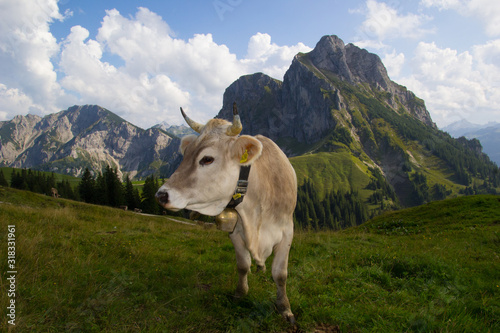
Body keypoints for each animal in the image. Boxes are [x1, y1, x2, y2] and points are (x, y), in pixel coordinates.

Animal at [156, 104, 296, 322]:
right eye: (185, 154)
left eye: (207, 159)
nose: (161, 195)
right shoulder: (235, 231)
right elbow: (243, 265)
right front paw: (240, 294)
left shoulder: (287, 231)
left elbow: (280, 274)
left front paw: (285, 308)